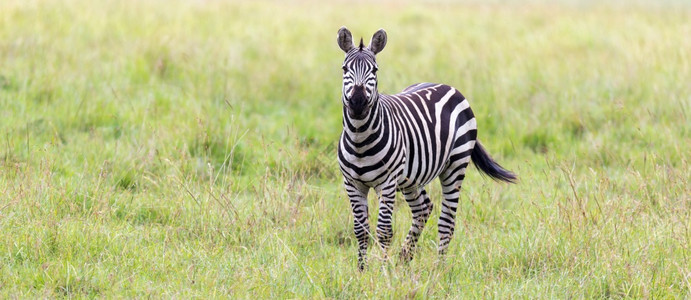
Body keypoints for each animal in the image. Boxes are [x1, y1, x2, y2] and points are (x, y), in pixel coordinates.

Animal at [338, 26, 516, 270]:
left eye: (374, 70)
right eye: (345, 68)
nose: (357, 102)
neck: (359, 139)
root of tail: (447, 86)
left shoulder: (388, 183)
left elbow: (384, 231)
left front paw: (382, 271)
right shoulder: (352, 183)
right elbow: (360, 231)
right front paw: (362, 272)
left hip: (455, 166)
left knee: (446, 222)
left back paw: (439, 270)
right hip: (411, 178)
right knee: (423, 209)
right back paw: (404, 257)